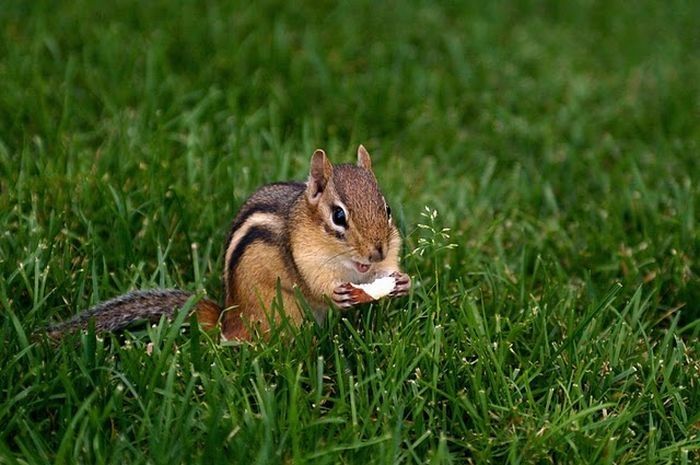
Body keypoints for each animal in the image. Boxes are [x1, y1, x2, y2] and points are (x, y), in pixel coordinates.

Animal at [48, 145, 411, 341]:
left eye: (387, 209)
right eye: (338, 216)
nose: (376, 251)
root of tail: (228, 318)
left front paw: (403, 281)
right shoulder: (304, 256)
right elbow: (314, 283)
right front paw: (335, 293)